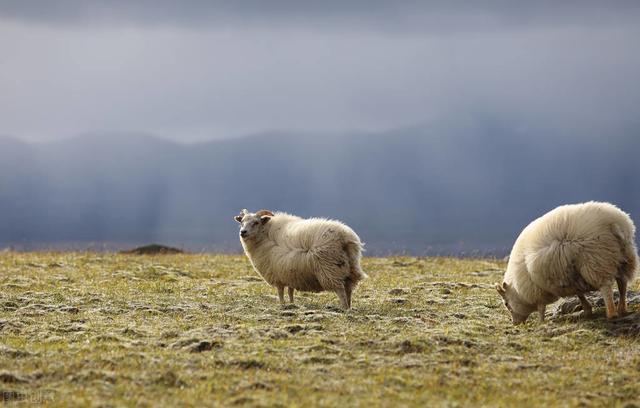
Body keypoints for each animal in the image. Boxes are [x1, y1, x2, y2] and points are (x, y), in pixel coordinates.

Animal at [234, 210, 364, 310]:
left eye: (256, 222)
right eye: (242, 222)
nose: (242, 232)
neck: (264, 234)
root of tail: (345, 236)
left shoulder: (277, 274)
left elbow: (280, 292)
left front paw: (282, 305)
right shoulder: (290, 273)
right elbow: (290, 291)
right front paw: (291, 304)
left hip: (330, 269)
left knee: (340, 290)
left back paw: (344, 308)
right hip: (350, 267)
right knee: (348, 289)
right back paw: (349, 306)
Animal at [498, 202, 636, 326]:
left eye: (506, 303)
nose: (515, 323)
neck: (518, 289)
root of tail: (615, 222)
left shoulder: (538, 289)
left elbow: (541, 307)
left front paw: (541, 322)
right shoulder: (571, 278)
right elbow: (579, 293)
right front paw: (587, 310)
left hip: (597, 261)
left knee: (606, 287)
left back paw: (611, 313)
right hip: (624, 258)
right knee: (622, 283)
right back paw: (622, 309)